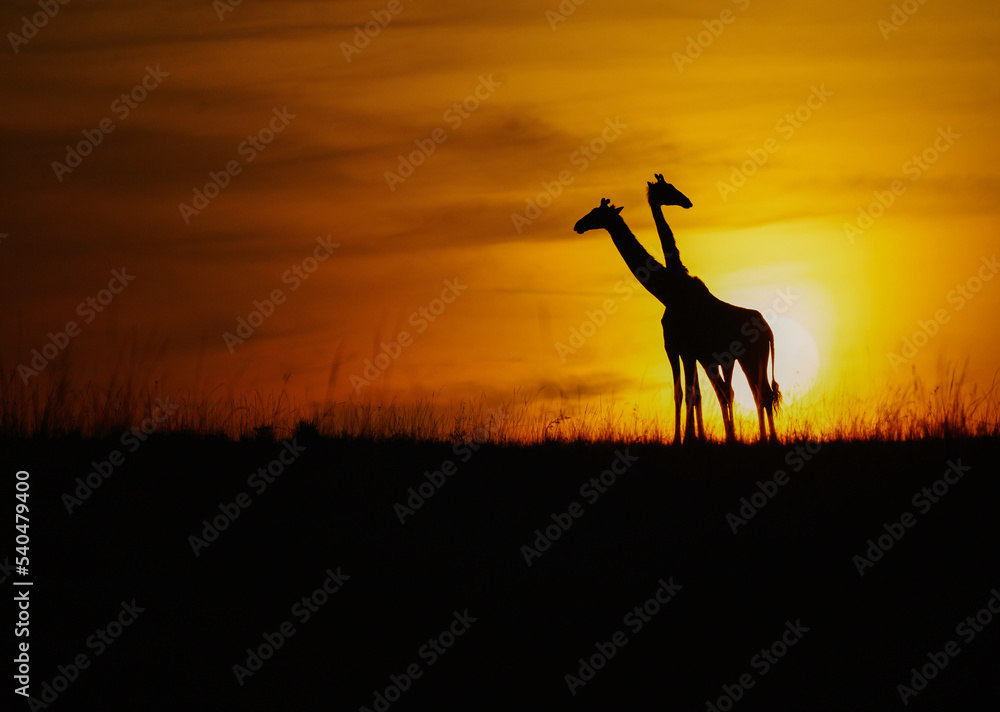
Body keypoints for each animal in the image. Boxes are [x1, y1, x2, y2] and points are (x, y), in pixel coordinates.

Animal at [646, 174, 782, 444]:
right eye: (668, 189)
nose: (687, 201)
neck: (678, 281)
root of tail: (769, 331)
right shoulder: (692, 351)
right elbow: (698, 392)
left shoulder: (689, 349)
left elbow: (696, 392)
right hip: (750, 358)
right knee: (761, 393)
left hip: (752, 357)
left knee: (761, 393)